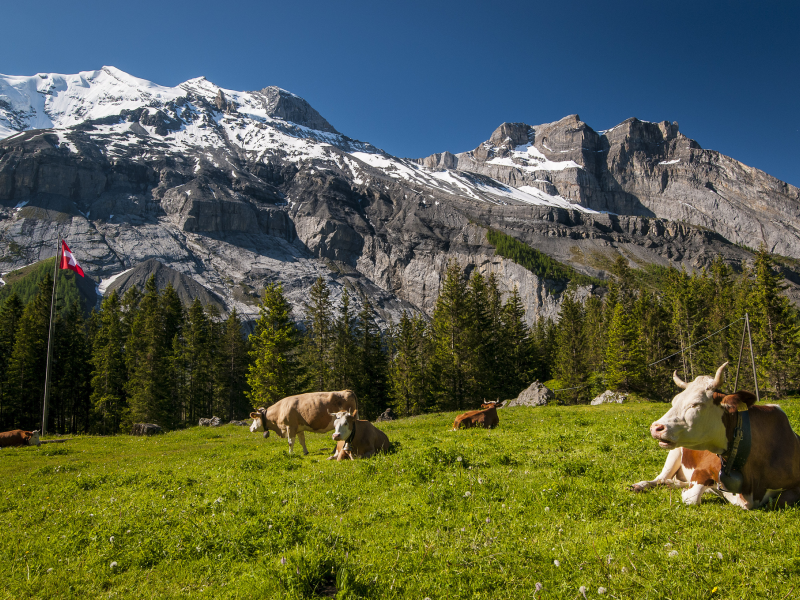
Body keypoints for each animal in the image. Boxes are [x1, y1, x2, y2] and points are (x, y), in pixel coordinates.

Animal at [640, 364, 800, 508]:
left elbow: (779, 501)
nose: (656, 428)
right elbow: (692, 498)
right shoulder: (702, 469)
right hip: (675, 453)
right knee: (660, 478)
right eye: (674, 402)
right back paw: (641, 485)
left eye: (696, 404)